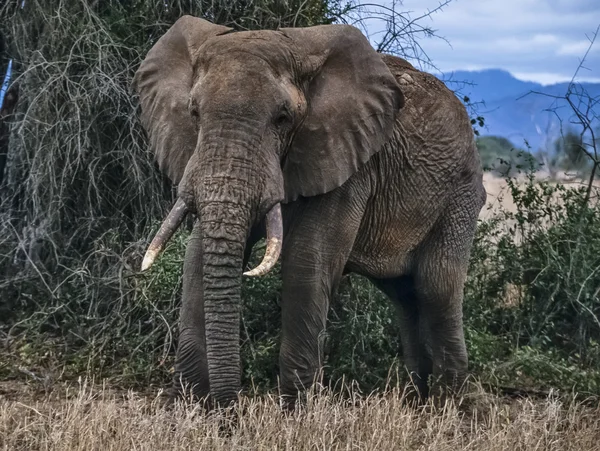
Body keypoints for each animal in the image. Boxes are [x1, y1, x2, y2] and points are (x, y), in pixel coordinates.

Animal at [132, 15, 488, 408]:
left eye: (282, 118)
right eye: (194, 113)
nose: (230, 410)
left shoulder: (348, 163)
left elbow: (306, 263)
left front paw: (297, 412)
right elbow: (196, 259)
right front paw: (185, 407)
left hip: (460, 195)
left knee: (436, 288)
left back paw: (452, 409)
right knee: (405, 296)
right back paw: (417, 404)